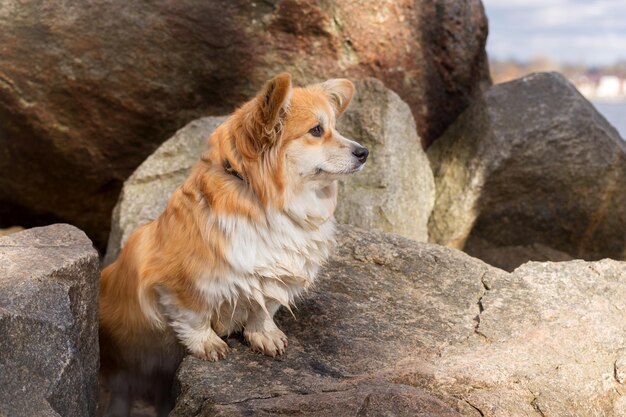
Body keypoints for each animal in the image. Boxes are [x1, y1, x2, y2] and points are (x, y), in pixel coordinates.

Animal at [100, 73, 368, 414]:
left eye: (334, 126)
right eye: (316, 130)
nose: (364, 152)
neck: (266, 203)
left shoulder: (274, 278)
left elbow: (264, 308)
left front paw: (263, 335)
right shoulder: (176, 283)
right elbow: (193, 315)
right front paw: (207, 344)